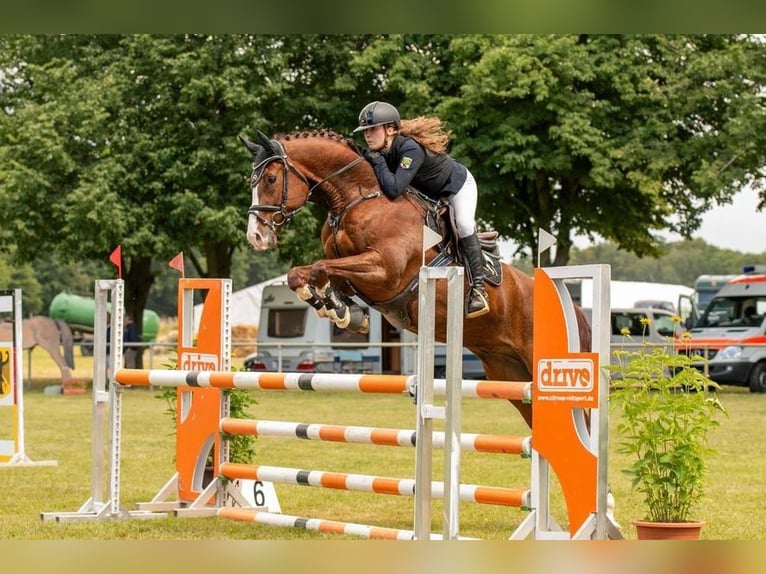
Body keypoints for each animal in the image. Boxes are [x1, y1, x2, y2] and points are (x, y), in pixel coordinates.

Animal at [242, 130, 592, 428]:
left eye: (271, 179)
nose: (255, 237)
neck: (355, 197)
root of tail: (573, 309)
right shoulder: (353, 273)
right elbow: (305, 274)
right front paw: (345, 313)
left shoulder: (384, 270)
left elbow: (317, 268)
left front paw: (339, 310)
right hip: (508, 374)